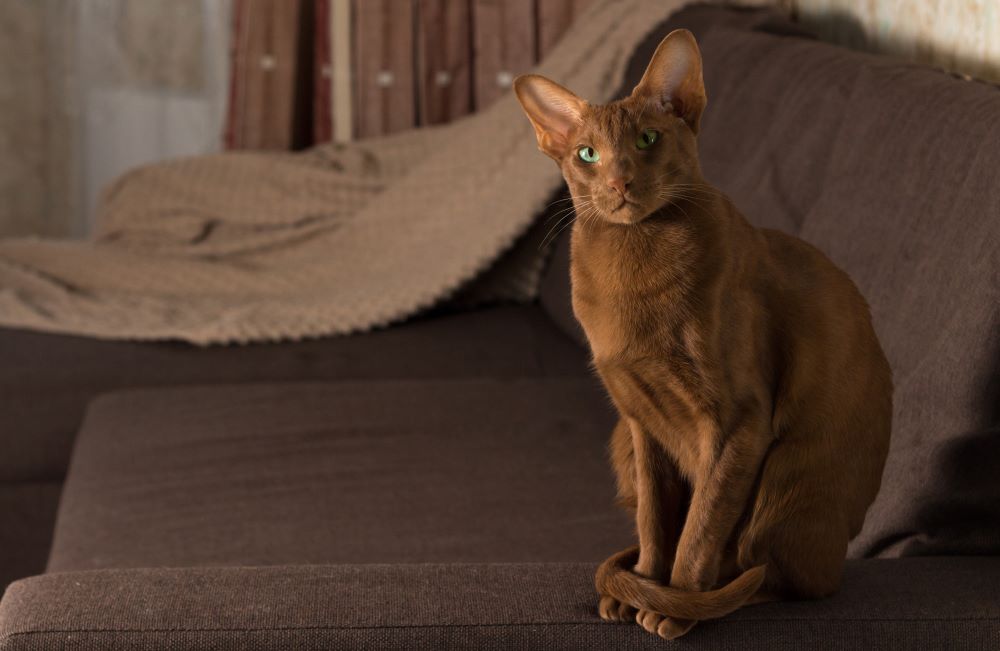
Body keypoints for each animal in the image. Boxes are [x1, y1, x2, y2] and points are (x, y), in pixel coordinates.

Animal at [516, 28, 892, 640]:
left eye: (648, 139)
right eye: (587, 154)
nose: (620, 181)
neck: (635, 271)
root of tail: (841, 553)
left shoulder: (739, 422)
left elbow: (702, 524)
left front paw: (675, 604)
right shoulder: (641, 421)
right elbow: (655, 521)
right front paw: (645, 584)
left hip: (783, 477)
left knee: (785, 578)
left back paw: (720, 595)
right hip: (621, 445)